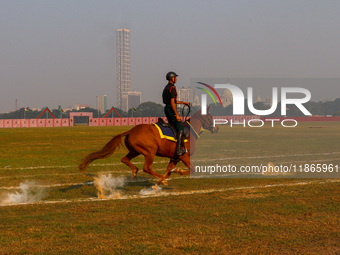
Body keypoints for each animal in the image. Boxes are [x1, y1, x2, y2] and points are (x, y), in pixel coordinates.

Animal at [78, 106, 219, 185]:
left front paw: (161, 181)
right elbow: (191, 169)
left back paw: (135, 171)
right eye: (210, 117)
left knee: (124, 159)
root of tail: (131, 130)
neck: (189, 132)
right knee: (147, 168)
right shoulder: (183, 157)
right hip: (150, 151)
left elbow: (168, 171)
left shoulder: (174, 158)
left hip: (135, 151)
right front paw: (175, 172)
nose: (216, 128)